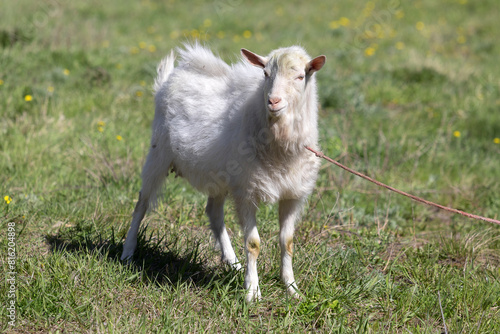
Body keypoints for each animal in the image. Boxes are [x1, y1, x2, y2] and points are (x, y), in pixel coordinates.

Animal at [119, 41, 326, 300]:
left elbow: (287, 242)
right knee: (142, 204)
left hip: (218, 176)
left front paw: (292, 288)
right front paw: (252, 291)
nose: (273, 102)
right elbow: (253, 244)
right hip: (158, 155)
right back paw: (127, 253)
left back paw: (233, 262)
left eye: (300, 76)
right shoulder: (247, 192)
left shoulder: (292, 195)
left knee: (214, 213)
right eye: (265, 74)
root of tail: (169, 79)